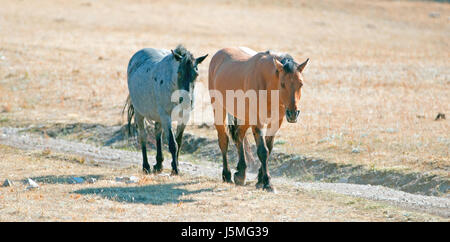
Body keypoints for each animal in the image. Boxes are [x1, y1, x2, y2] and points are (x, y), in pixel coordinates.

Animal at [124, 45, 207, 174]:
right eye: (179, 73)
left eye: (196, 74)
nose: (186, 100)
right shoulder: (166, 116)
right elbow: (172, 144)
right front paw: (175, 169)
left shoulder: (184, 117)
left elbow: (178, 141)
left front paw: (175, 165)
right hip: (139, 113)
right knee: (143, 136)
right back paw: (146, 166)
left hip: (158, 116)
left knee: (157, 132)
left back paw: (158, 164)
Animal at [208, 46, 310, 191]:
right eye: (282, 84)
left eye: (300, 84)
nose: (292, 114)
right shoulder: (257, 121)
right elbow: (263, 150)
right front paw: (267, 182)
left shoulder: (276, 122)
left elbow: (269, 147)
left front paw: (260, 179)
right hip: (219, 109)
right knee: (223, 140)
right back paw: (227, 174)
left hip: (245, 116)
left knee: (239, 135)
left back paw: (241, 173)